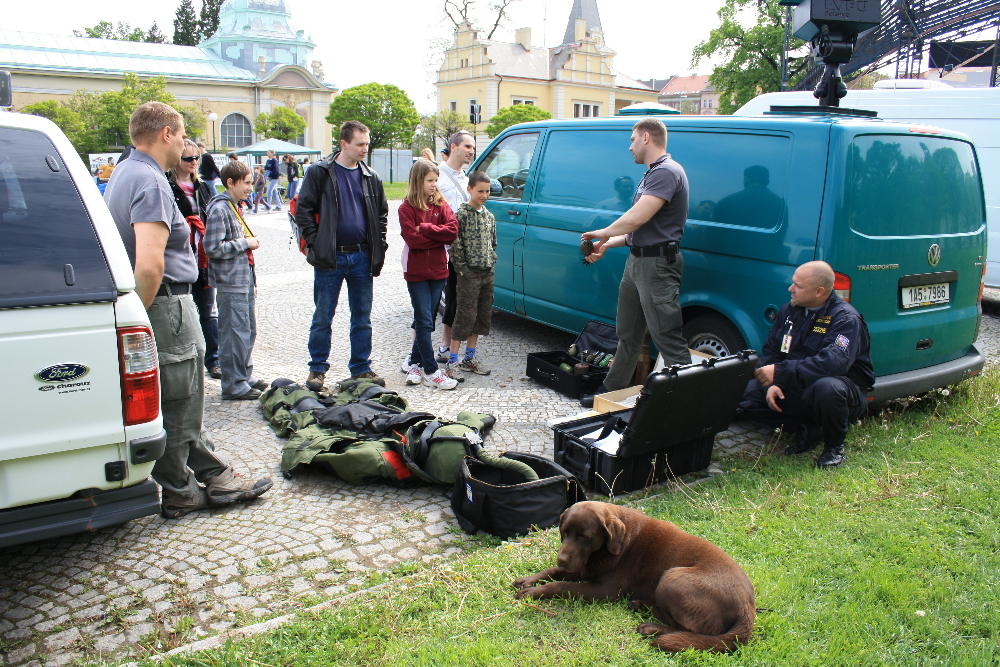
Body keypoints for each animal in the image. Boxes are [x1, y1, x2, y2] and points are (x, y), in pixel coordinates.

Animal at [512, 500, 752, 652]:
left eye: (585, 536)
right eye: (564, 532)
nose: (561, 558)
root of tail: (746, 611)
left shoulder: (604, 589)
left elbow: (561, 585)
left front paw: (532, 592)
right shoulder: (584, 565)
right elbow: (553, 572)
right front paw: (528, 580)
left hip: (673, 577)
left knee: (689, 630)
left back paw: (652, 626)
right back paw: (641, 605)